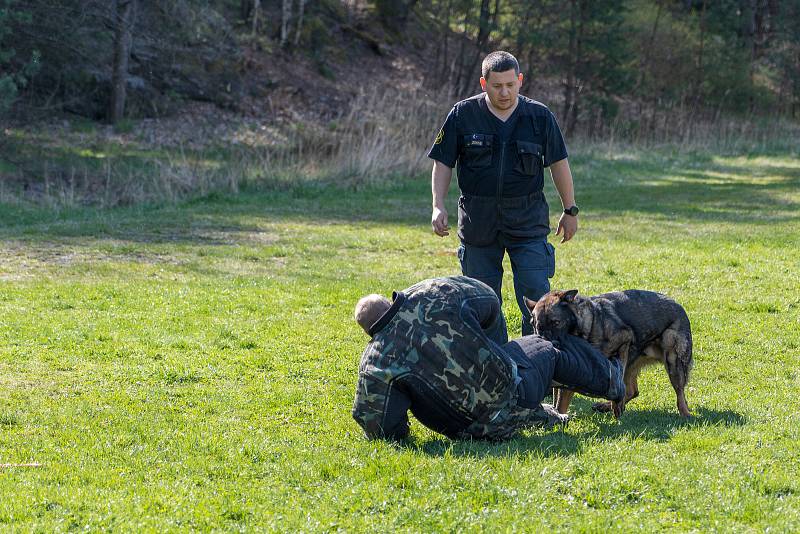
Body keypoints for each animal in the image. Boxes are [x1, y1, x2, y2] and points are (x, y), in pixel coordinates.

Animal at [524, 294, 692, 418]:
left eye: (556, 322)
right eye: (538, 327)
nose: (550, 344)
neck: (588, 326)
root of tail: (679, 306)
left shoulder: (624, 339)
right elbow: (559, 403)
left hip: (673, 361)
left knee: (679, 393)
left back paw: (685, 413)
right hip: (635, 362)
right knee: (632, 390)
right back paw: (605, 406)